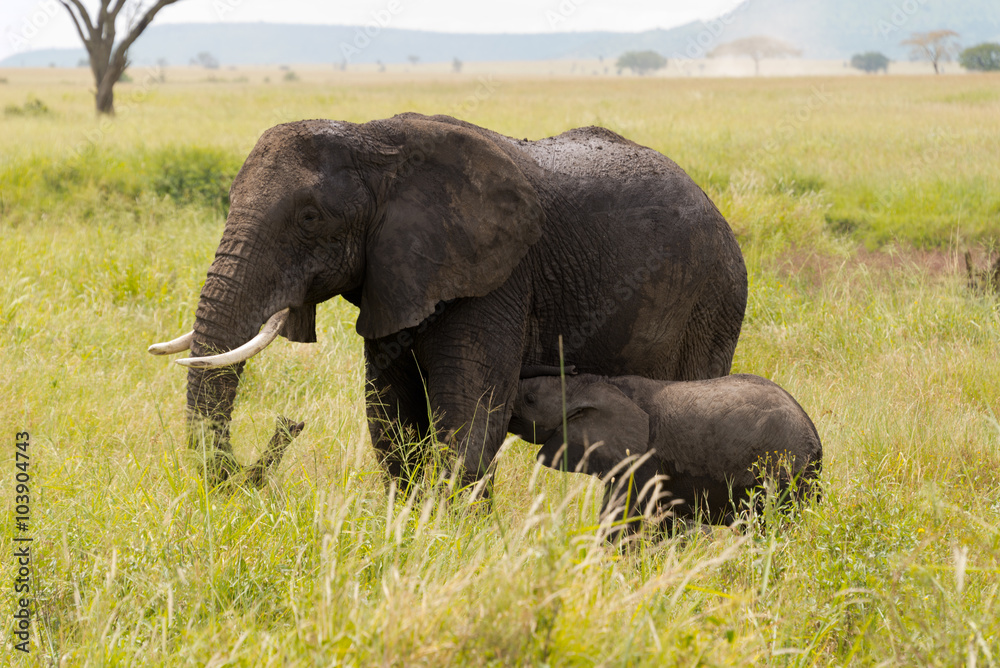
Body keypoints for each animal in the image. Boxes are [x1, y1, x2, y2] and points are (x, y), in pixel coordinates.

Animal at [146, 113, 744, 490]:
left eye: (310, 218)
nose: (288, 427)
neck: (374, 142)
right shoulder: (397, 279)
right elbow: (391, 416)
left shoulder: (499, 280)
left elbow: (467, 418)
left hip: (715, 300)